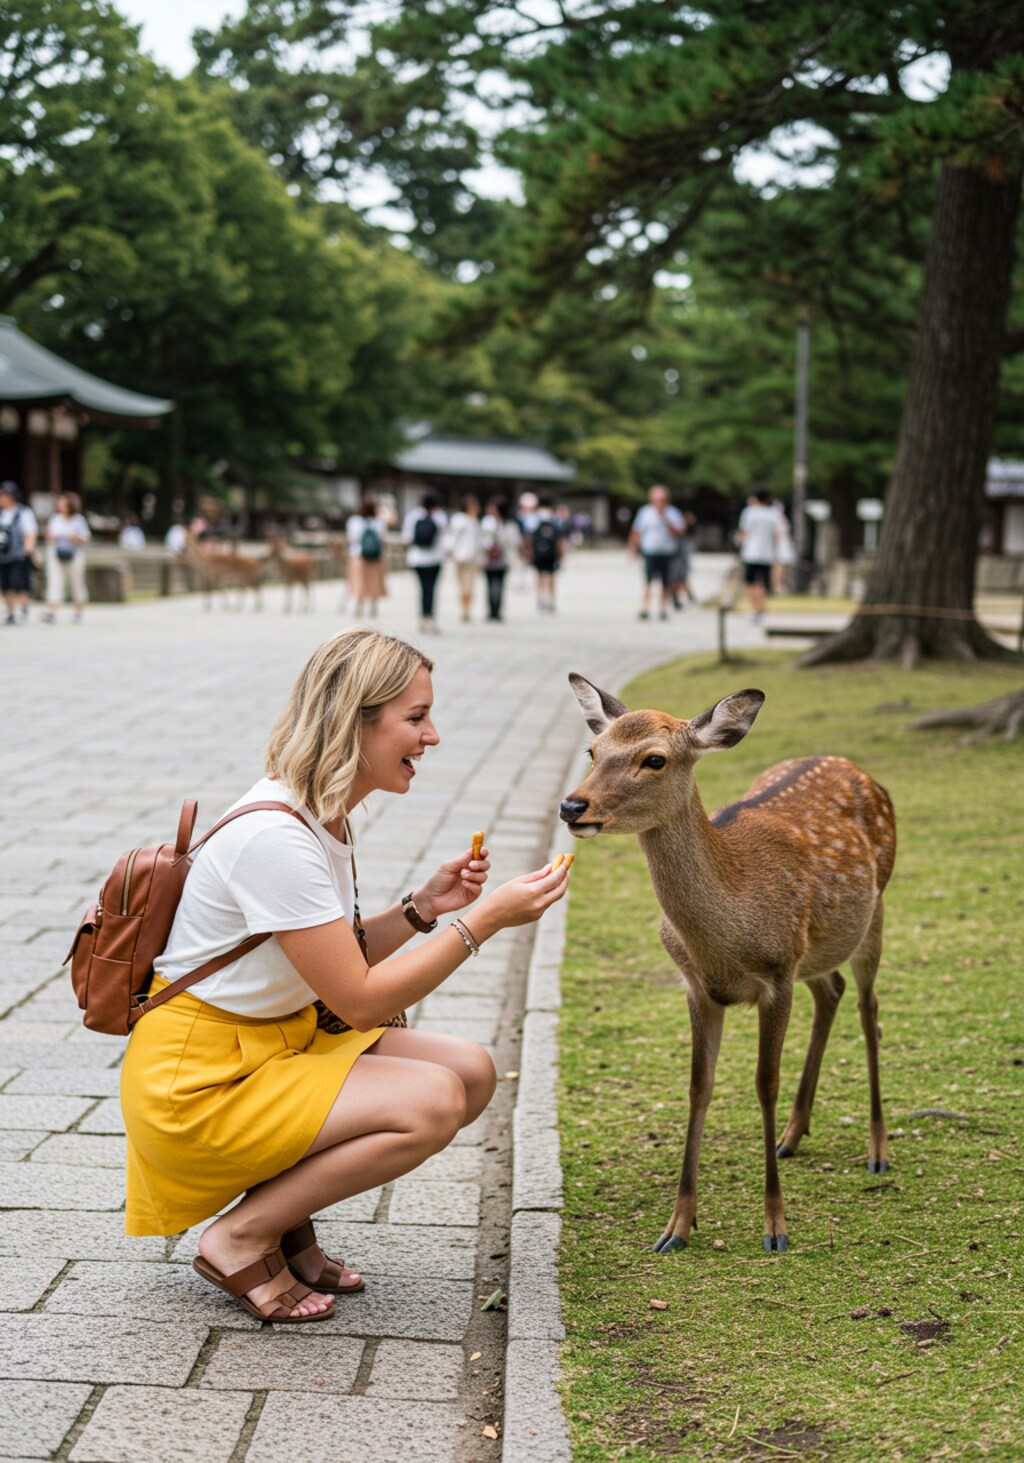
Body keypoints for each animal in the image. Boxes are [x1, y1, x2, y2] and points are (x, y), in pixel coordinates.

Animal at [560, 674, 896, 1255]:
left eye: (654, 759)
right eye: (593, 750)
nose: (572, 805)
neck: (724, 939)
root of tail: (854, 768)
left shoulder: (778, 974)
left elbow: (765, 1083)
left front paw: (776, 1226)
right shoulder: (696, 986)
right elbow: (699, 1085)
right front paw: (676, 1226)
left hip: (874, 912)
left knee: (869, 1009)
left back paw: (878, 1150)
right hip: (819, 949)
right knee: (830, 990)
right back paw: (791, 1136)